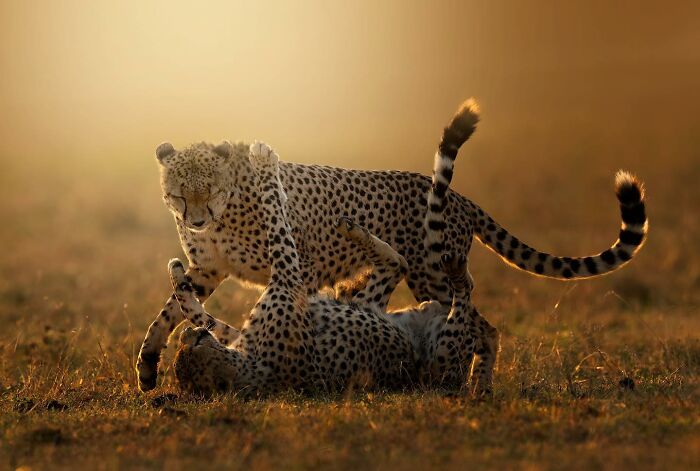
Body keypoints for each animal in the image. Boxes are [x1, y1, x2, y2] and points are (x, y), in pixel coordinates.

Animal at [137, 98, 648, 392]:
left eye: (209, 191)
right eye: (179, 194)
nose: (196, 220)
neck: (223, 214)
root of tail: (460, 198)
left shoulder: (296, 267)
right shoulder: (208, 271)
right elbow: (169, 309)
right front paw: (146, 365)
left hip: (431, 274)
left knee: (480, 320)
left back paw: (478, 384)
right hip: (428, 281)